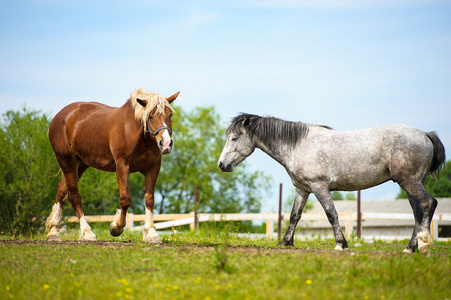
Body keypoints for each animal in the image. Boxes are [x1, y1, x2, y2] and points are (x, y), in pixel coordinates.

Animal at [45, 88, 180, 243]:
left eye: (170, 114)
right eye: (150, 116)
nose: (166, 143)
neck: (136, 133)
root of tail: (58, 117)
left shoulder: (153, 167)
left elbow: (149, 200)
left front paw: (151, 233)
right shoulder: (122, 165)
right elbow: (125, 199)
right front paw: (116, 227)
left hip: (81, 164)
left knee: (62, 189)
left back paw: (54, 232)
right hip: (67, 161)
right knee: (74, 196)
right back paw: (88, 233)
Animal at [218, 113, 444, 252]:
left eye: (234, 138)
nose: (221, 164)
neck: (298, 146)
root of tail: (425, 135)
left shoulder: (319, 187)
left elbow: (331, 214)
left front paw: (340, 244)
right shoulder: (302, 189)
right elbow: (294, 216)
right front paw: (285, 242)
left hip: (410, 182)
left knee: (428, 204)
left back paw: (422, 245)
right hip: (412, 184)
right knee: (417, 212)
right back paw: (410, 248)